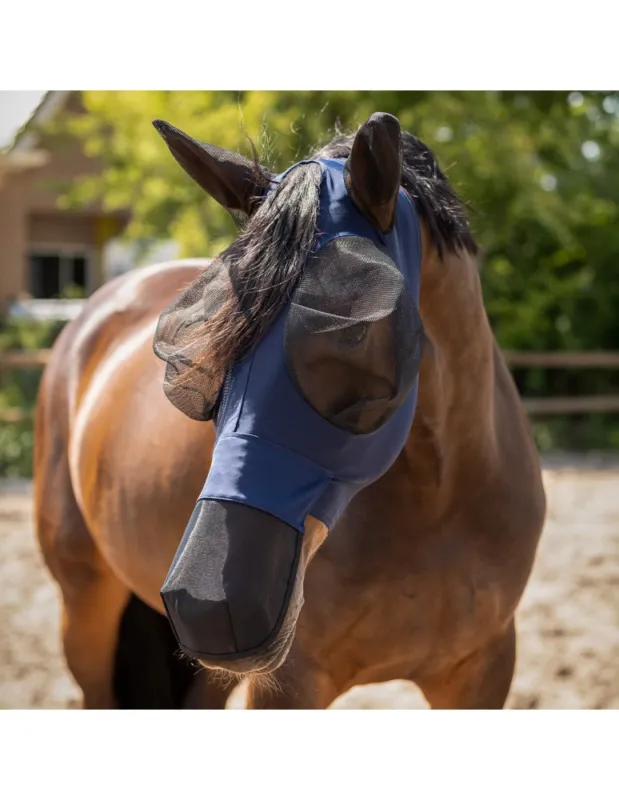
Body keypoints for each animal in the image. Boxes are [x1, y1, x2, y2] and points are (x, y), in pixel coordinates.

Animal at [34, 111, 546, 709]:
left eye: (353, 333)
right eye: (198, 353)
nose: (204, 603)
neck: (439, 498)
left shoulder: (483, 668)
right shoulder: (290, 684)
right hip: (85, 610)